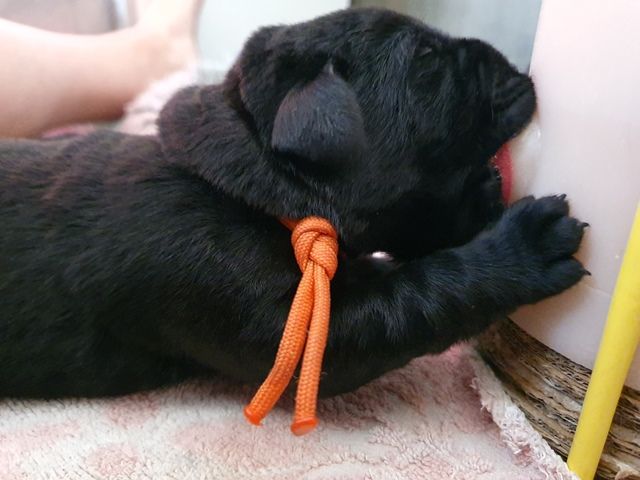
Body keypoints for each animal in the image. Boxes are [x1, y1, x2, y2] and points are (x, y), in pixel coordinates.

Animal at [0, 8, 584, 398]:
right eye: (427, 59)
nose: (512, 64)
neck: (246, 188)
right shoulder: (295, 326)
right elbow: (418, 292)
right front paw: (521, 248)